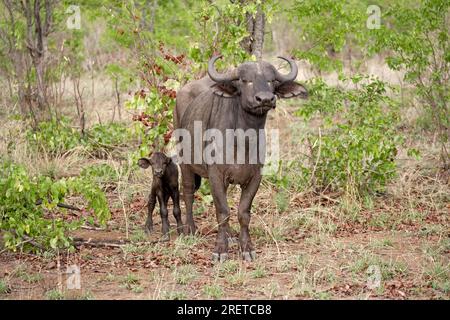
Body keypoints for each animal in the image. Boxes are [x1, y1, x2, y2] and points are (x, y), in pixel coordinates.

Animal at [174, 56, 308, 262]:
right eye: (246, 80)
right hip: (185, 163)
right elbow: (222, 211)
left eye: (272, 80)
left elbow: (242, 212)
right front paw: (221, 249)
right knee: (188, 192)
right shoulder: (215, 174)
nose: (265, 99)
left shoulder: (255, 177)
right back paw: (190, 229)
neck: (242, 139)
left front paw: (246, 247)